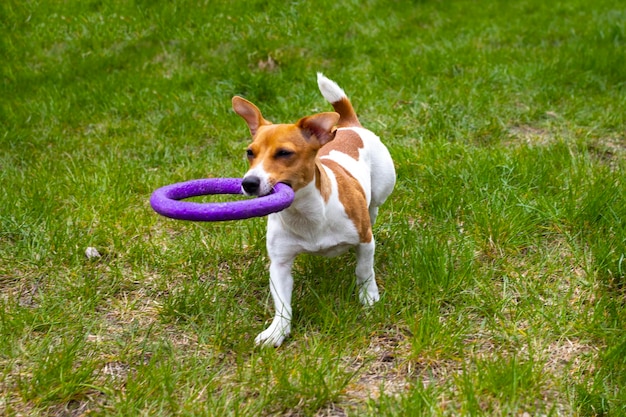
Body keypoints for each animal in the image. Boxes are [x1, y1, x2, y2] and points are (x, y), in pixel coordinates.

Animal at [232, 74, 392, 344]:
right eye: (250, 153)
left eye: (284, 153)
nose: (249, 182)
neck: (306, 214)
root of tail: (348, 125)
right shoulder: (280, 264)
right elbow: (282, 301)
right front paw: (277, 330)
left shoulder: (364, 240)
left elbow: (364, 269)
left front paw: (368, 296)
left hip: (381, 190)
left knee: (373, 208)